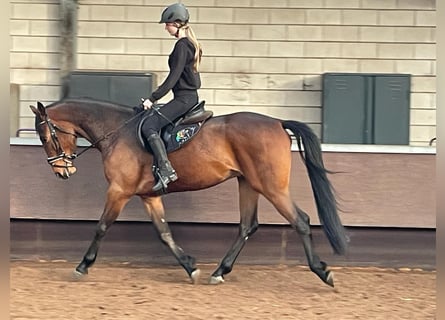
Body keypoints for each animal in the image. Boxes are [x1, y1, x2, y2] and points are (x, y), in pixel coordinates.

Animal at [29, 98, 348, 288]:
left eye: (45, 137)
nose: (62, 172)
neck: (117, 131)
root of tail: (277, 123)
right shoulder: (149, 196)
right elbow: (164, 233)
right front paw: (190, 266)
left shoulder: (119, 191)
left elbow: (102, 227)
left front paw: (82, 266)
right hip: (248, 184)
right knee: (247, 226)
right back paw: (219, 271)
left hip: (271, 187)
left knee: (301, 221)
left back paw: (323, 271)